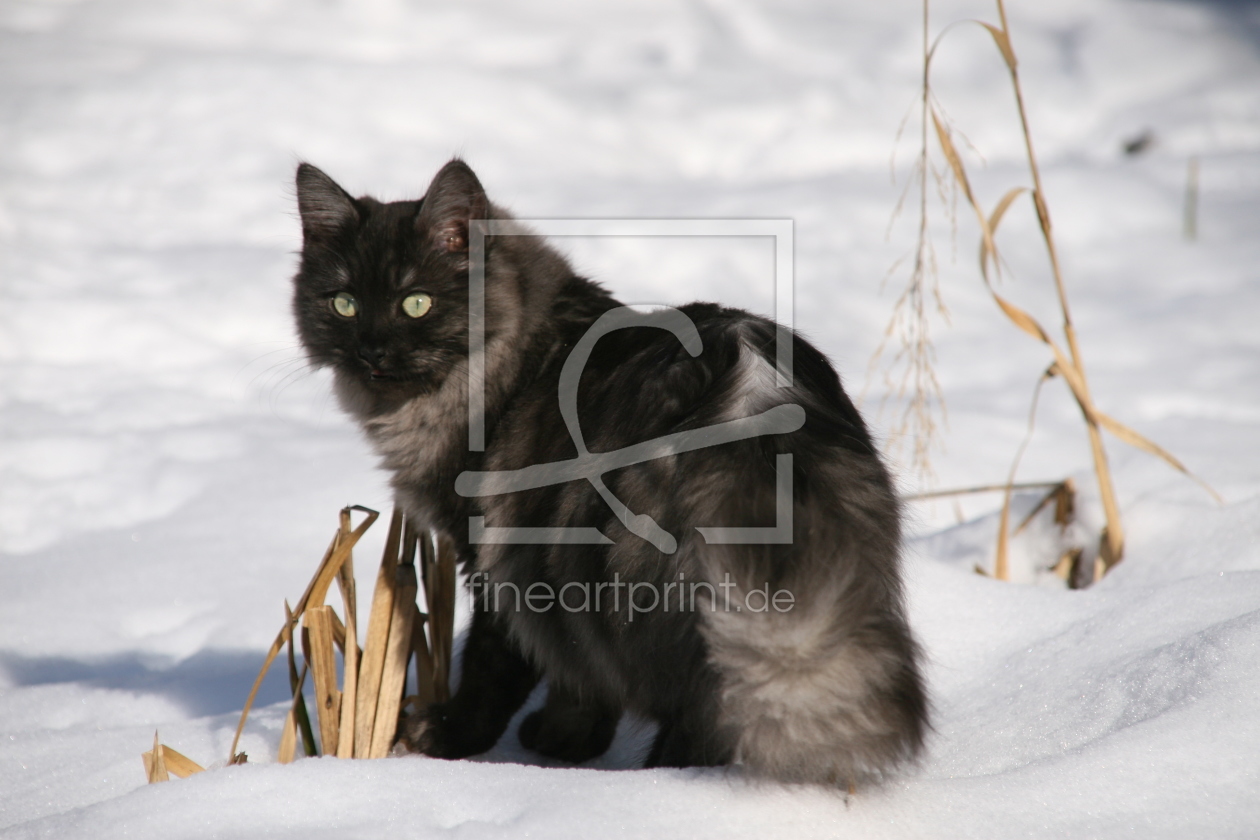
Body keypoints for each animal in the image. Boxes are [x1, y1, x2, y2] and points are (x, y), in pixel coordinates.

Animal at [292, 157, 927, 790]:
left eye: (416, 303)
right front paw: (568, 739)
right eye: (344, 303)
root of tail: (748, 380)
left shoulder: (497, 558)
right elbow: (579, 676)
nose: (372, 351)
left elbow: (495, 668)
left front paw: (445, 738)